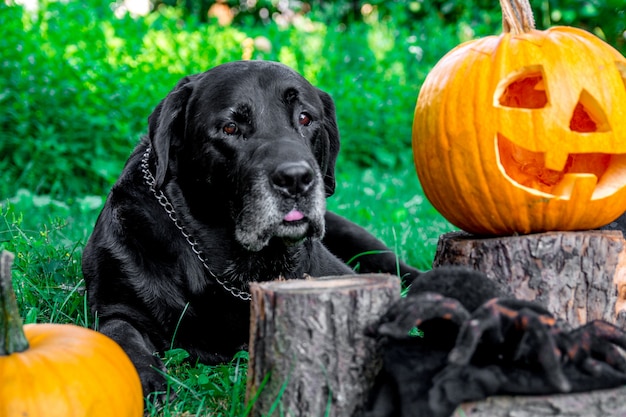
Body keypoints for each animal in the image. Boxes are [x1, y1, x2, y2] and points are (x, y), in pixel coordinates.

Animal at [80, 59, 416, 396]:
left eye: (305, 118)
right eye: (230, 127)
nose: (296, 178)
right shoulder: (116, 302)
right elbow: (121, 336)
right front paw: (146, 382)